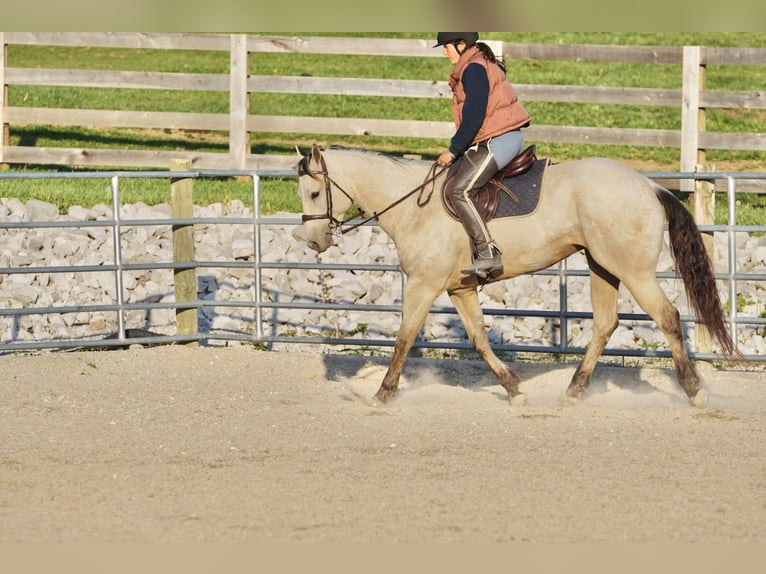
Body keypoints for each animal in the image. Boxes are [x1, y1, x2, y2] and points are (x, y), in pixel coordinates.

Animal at [295, 144, 735, 407]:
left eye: (315, 193)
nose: (314, 241)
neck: (414, 206)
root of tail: (648, 185)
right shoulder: (460, 289)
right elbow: (479, 340)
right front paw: (513, 388)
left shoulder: (422, 285)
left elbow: (404, 338)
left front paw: (384, 393)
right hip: (602, 267)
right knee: (605, 323)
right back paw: (574, 390)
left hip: (633, 271)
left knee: (668, 318)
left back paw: (694, 391)